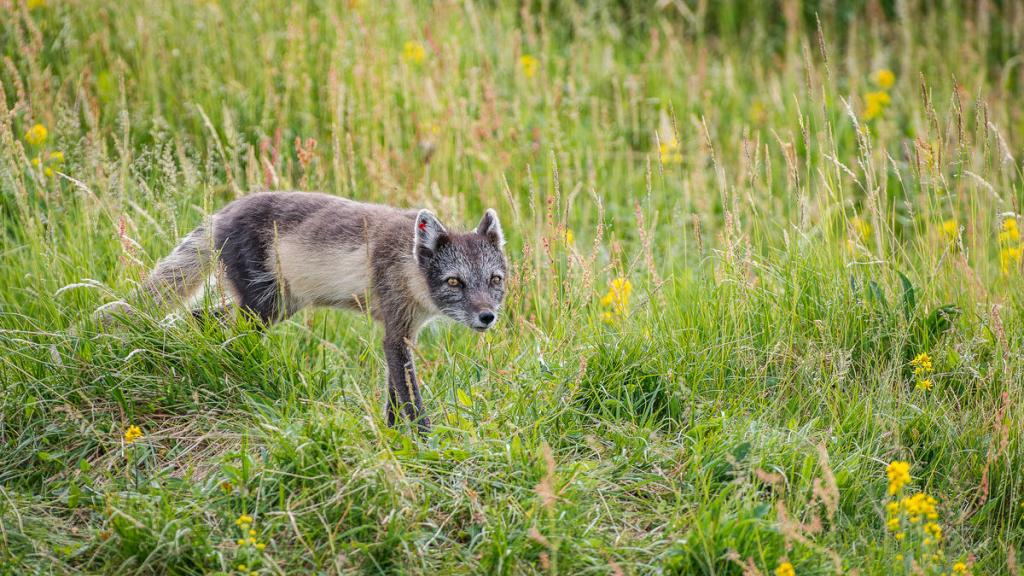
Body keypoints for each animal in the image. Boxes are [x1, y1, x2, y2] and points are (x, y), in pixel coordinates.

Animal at [96, 191, 508, 433]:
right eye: (454, 282)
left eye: (494, 280)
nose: (487, 317)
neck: (408, 264)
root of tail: (221, 213)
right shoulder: (394, 333)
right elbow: (411, 399)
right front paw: (425, 440)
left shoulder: (401, 331)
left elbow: (394, 395)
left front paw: (393, 436)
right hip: (261, 308)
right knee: (224, 333)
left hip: (277, 305)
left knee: (198, 318)